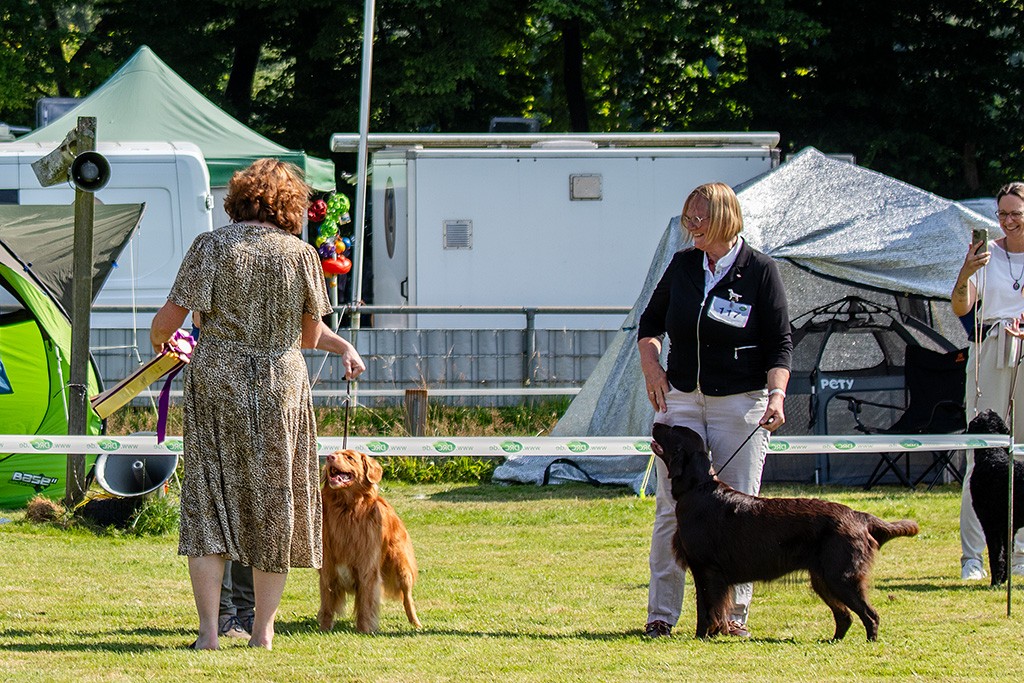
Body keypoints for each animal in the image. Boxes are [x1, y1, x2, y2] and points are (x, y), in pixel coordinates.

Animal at [315, 448, 419, 634]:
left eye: (349, 457)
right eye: (333, 453)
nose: (329, 457)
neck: (346, 510)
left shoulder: (367, 568)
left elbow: (365, 604)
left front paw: (364, 630)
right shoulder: (327, 569)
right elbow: (327, 606)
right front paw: (324, 629)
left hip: (401, 568)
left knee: (407, 597)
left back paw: (416, 623)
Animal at [655, 421, 921, 643]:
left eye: (672, 430)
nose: (656, 423)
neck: (697, 487)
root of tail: (859, 516)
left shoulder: (705, 568)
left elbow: (706, 609)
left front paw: (701, 636)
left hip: (840, 576)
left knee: (870, 614)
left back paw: (870, 642)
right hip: (823, 578)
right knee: (845, 615)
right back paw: (833, 640)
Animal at [966, 411, 1024, 589]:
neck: (992, 455)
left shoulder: (990, 525)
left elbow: (996, 555)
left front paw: (995, 583)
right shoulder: (1008, 528)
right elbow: (1006, 554)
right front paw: (1004, 579)